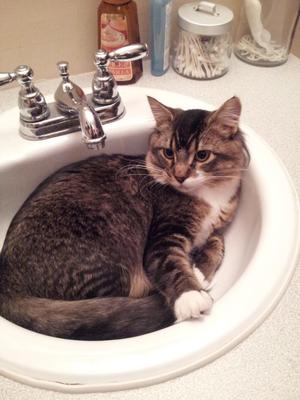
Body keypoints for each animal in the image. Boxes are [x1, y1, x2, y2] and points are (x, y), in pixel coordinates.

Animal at [0, 95, 248, 340]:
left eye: (202, 155)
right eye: (168, 153)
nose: (179, 176)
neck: (210, 195)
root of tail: (6, 279)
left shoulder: (216, 226)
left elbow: (217, 241)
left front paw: (199, 268)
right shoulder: (164, 236)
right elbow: (171, 265)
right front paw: (191, 294)